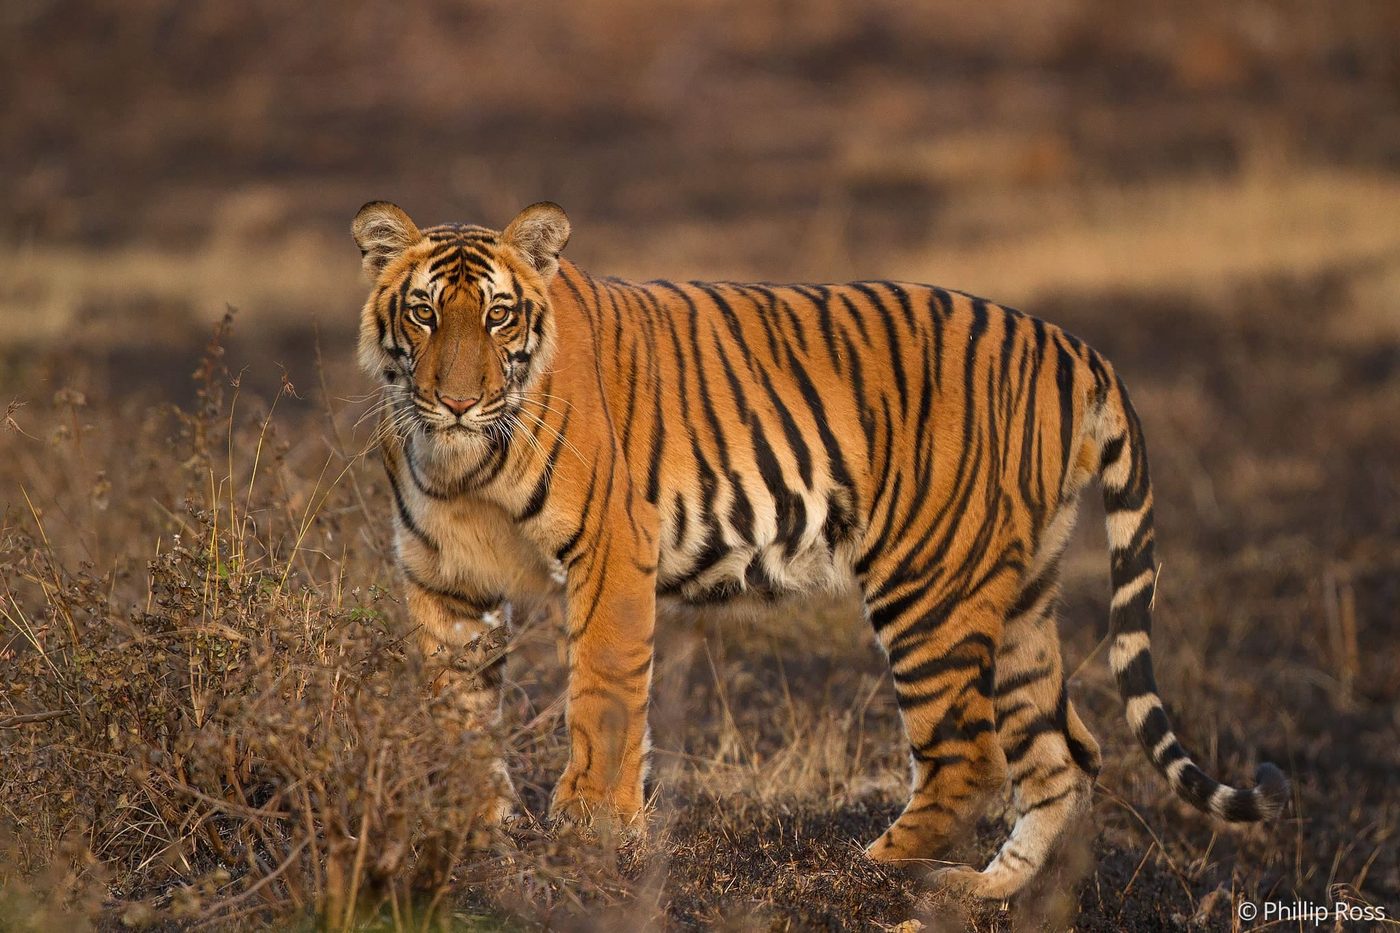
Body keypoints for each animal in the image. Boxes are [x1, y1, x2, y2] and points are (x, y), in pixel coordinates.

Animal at [350, 199, 1288, 898]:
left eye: (497, 314)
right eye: (424, 312)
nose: (457, 401)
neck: (463, 461)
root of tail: (1074, 345)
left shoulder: (612, 554)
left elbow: (605, 699)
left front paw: (589, 831)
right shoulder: (446, 582)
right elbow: (458, 713)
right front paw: (478, 831)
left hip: (930, 584)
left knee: (972, 755)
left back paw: (870, 870)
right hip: (1024, 592)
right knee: (1064, 753)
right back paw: (982, 892)